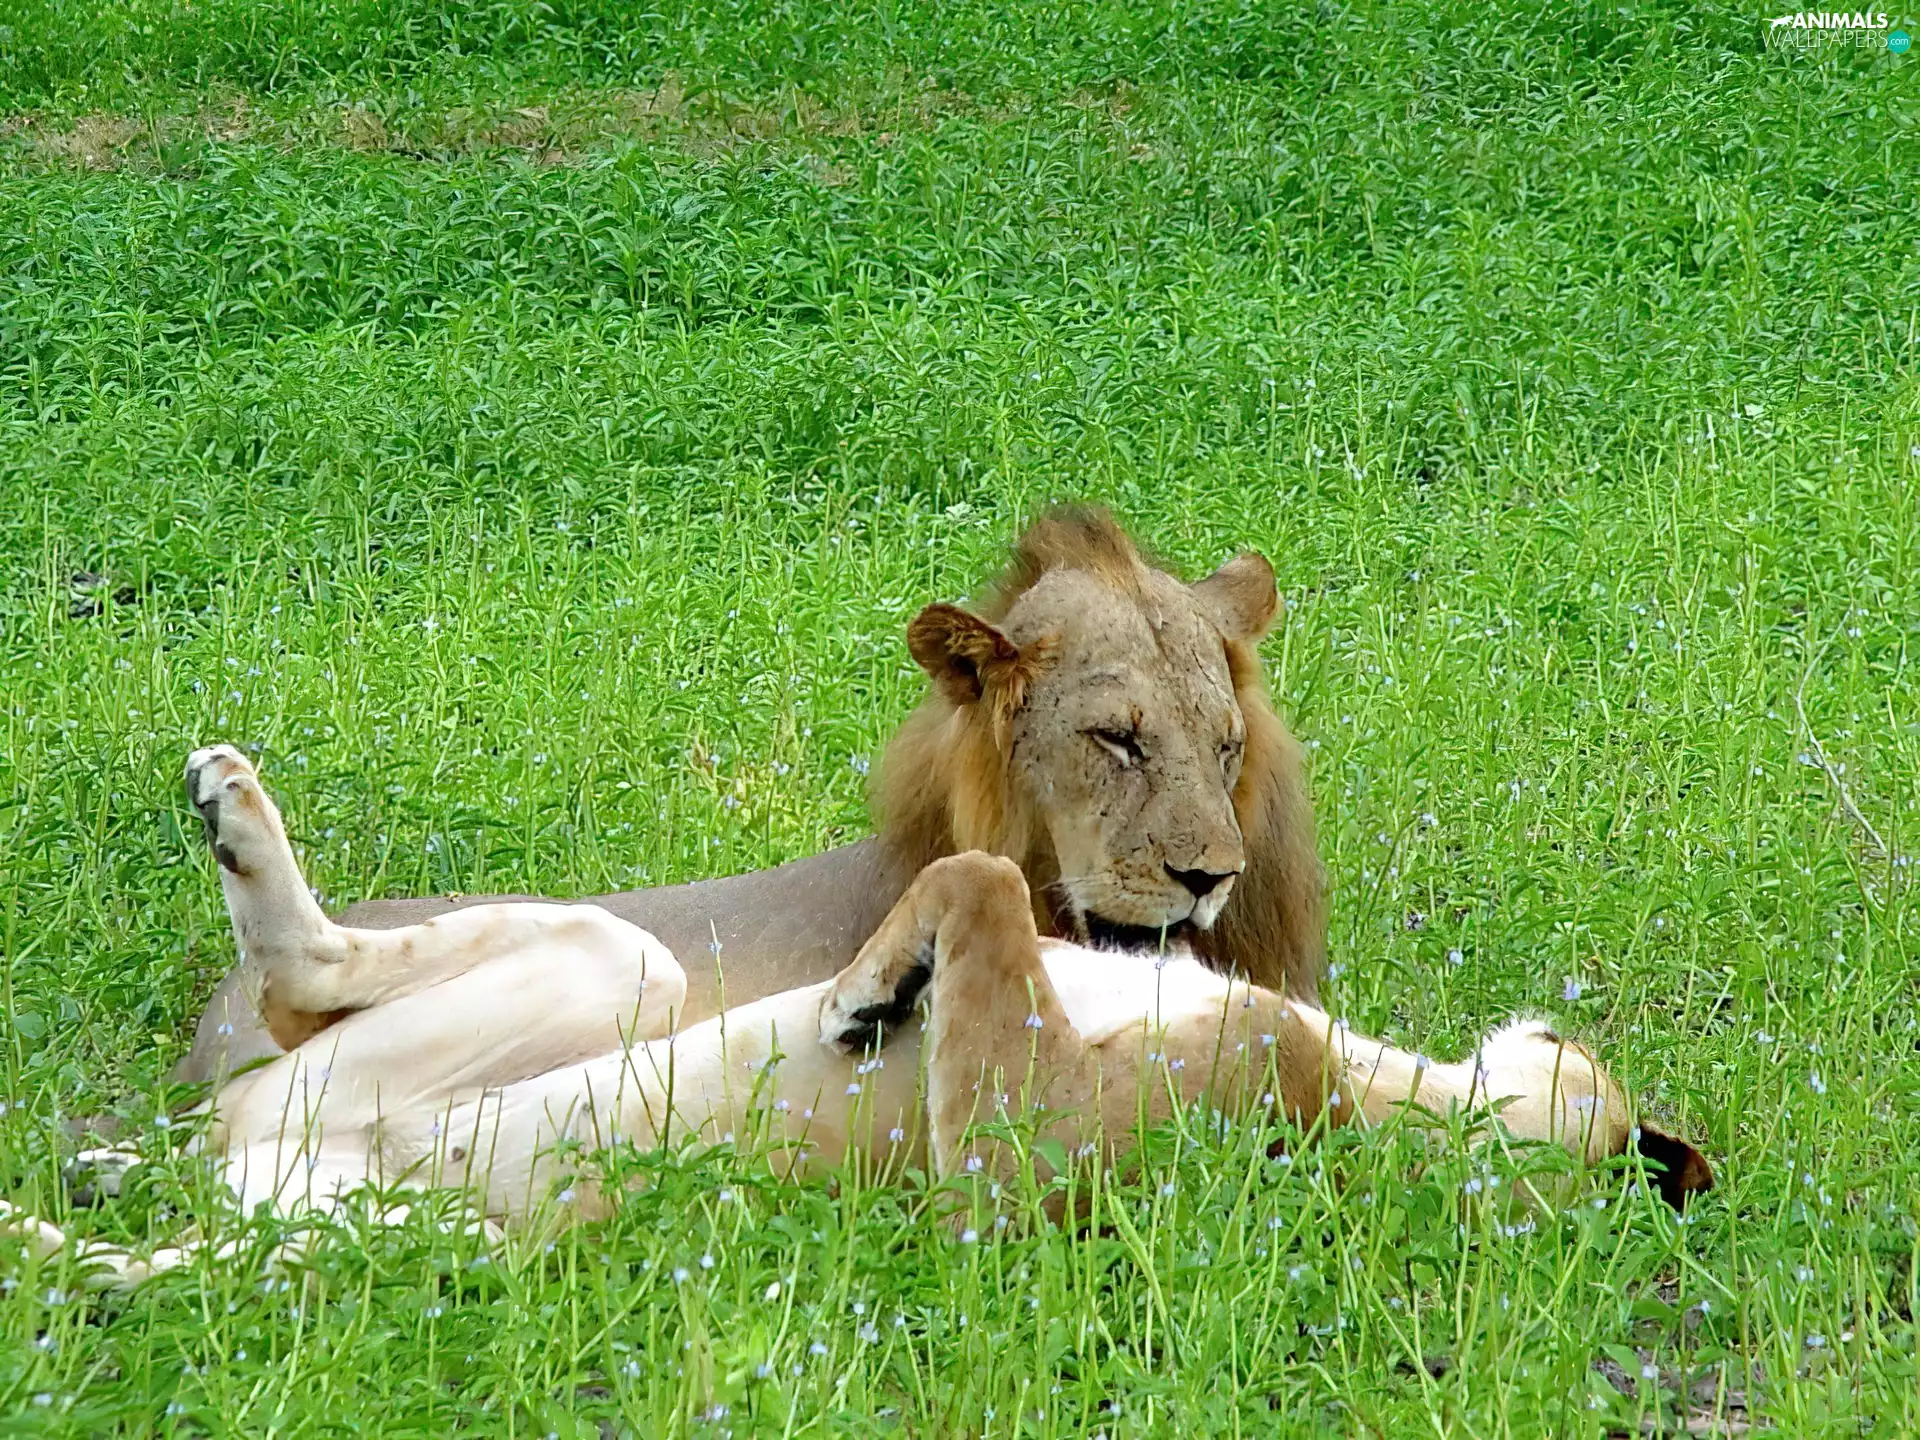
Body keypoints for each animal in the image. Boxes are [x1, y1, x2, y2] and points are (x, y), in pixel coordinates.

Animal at [11, 748, 1708, 1289]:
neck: (1390, 1107)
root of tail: (260, 1180)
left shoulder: (1022, 1166)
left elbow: (981, 892)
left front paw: (876, 988)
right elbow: (984, 873)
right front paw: (873, 977)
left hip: (415, 1244)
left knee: (147, 1271)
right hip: (608, 967)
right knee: (303, 983)